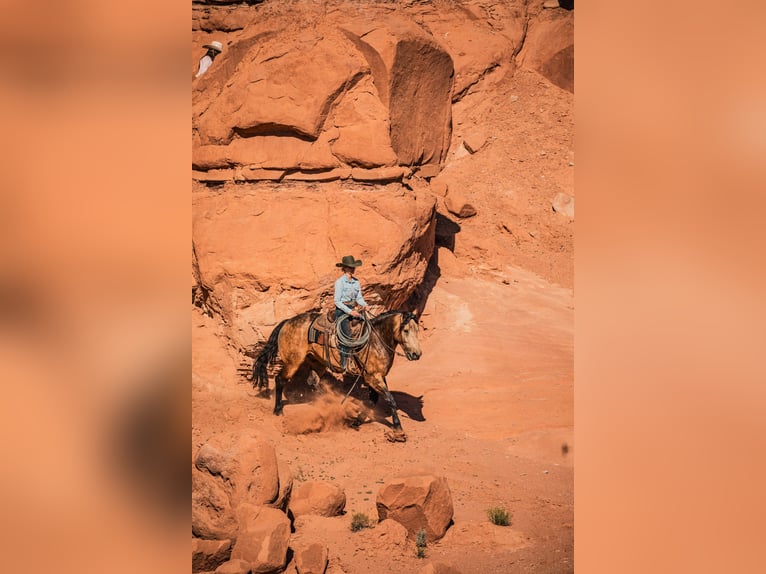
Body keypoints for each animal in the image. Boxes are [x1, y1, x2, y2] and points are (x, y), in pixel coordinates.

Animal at [251, 310, 422, 440]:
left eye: (417, 331)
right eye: (406, 330)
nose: (417, 354)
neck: (375, 341)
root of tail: (287, 322)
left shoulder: (377, 377)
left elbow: (373, 401)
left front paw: (356, 421)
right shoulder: (372, 377)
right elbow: (390, 400)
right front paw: (398, 429)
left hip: (317, 362)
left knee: (313, 381)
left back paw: (330, 402)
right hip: (293, 362)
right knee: (280, 379)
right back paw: (278, 410)